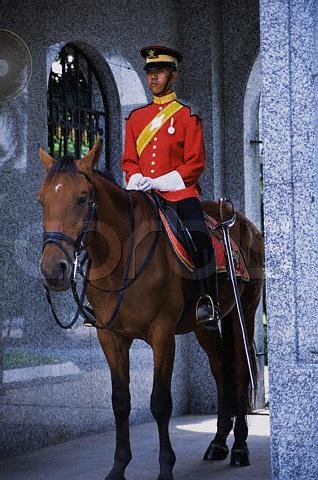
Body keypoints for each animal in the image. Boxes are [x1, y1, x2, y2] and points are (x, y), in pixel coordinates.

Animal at [38, 142, 264, 480]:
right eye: (41, 200)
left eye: (82, 198)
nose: (54, 270)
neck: (123, 256)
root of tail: (244, 222)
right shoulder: (110, 337)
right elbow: (120, 402)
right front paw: (118, 467)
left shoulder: (162, 334)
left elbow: (160, 402)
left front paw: (166, 467)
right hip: (204, 326)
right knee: (219, 369)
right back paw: (218, 442)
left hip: (242, 314)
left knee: (238, 369)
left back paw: (239, 447)